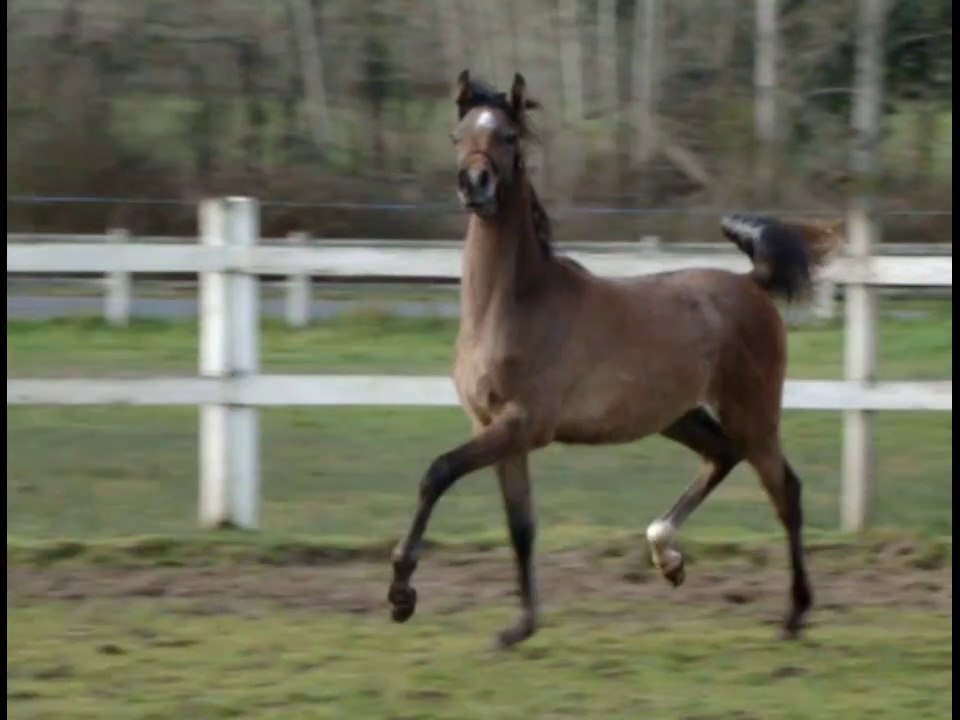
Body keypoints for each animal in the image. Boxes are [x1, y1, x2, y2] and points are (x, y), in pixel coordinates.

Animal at [387, 70, 843, 649]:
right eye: (458, 134)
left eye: (509, 136)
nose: (475, 183)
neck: (513, 306)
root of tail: (751, 282)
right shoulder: (495, 427)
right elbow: (521, 526)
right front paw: (519, 627)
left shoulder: (523, 424)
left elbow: (438, 472)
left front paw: (401, 594)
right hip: (677, 415)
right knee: (722, 456)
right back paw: (667, 555)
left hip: (752, 411)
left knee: (785, 490)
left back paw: (794, 614)